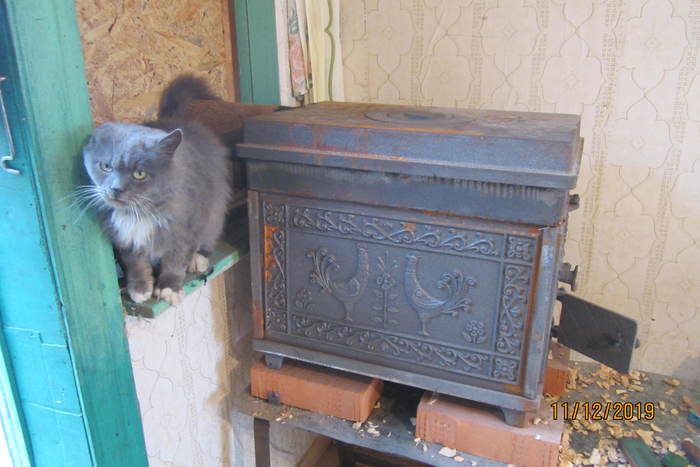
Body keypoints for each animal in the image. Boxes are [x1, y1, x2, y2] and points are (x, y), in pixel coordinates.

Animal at [81, 75, 232, 305]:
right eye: (106, 167)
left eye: (139, 174)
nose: (115, 188)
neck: (140, 213)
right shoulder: (126, 240)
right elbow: (136, 265)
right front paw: (140, 289)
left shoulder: (186, 231)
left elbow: (176, 262)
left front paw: (169, 289)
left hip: (213, 216)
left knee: (206, 242)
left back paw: (197, 261)